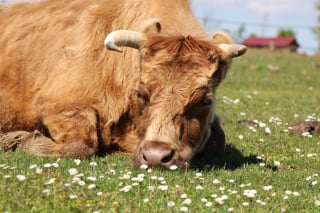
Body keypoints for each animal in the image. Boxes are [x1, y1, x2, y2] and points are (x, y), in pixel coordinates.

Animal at [0, 0, 248, 169]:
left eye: (206, 100)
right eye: (140, 93)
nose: (156, 156)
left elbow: (218, 140)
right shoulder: (59, 105)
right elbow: (81, 145)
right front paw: (14, 139)